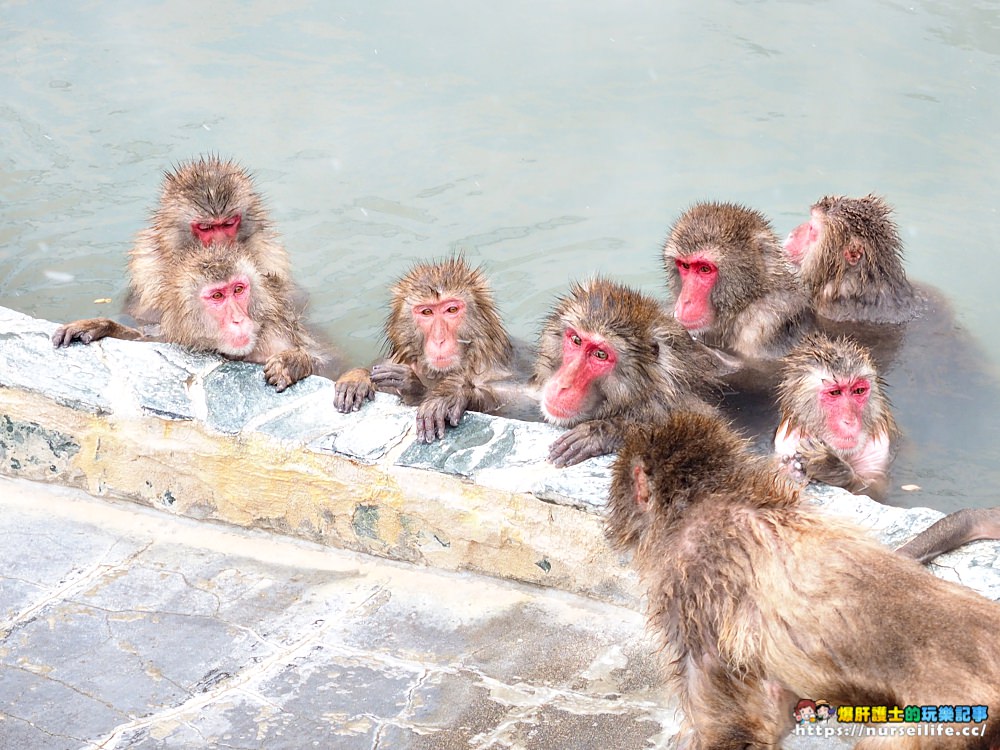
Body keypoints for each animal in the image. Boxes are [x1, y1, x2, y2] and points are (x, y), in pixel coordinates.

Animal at [51, 159, 332, 394]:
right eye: (206, 228)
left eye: (228, 224)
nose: (220, 244)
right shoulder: (148, 278)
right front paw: (102, 325)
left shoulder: (274, 269)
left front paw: (293, 362)